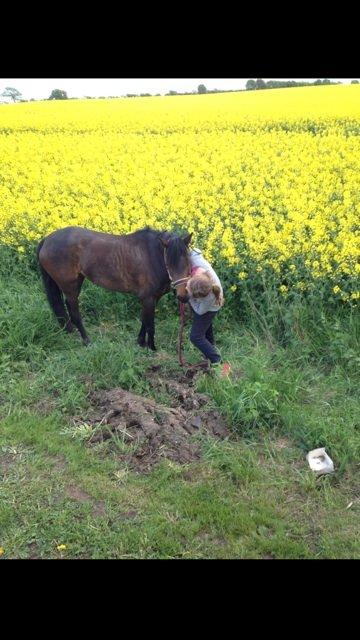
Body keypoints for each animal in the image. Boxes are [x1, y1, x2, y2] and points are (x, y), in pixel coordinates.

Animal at [37, 225, 191, 350]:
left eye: (188, 260)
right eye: (169, 262)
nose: (183, 296)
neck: (151, 255)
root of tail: (47, 239)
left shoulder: (152, 298)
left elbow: (144, 321)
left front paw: (140, 343)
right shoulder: (148, 298)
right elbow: (150, 325)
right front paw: (151, 348)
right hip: (69, 286)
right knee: (75, 313)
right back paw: (87, 341)